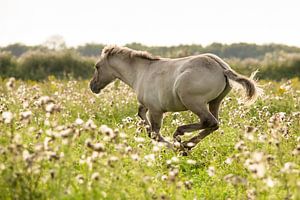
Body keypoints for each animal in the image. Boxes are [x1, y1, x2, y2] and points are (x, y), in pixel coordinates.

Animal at [89, 45, 260, 152]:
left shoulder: (156, 110)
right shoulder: (147, 105)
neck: (142, 71)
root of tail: (222, 67)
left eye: (97, 66)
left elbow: (155, 133)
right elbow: (141, 115)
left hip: (193, 102)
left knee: (209, 121)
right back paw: (187, 144)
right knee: (215, 124)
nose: (92, 86)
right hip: (214, 102)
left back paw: (181, 138)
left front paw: (171, 146)